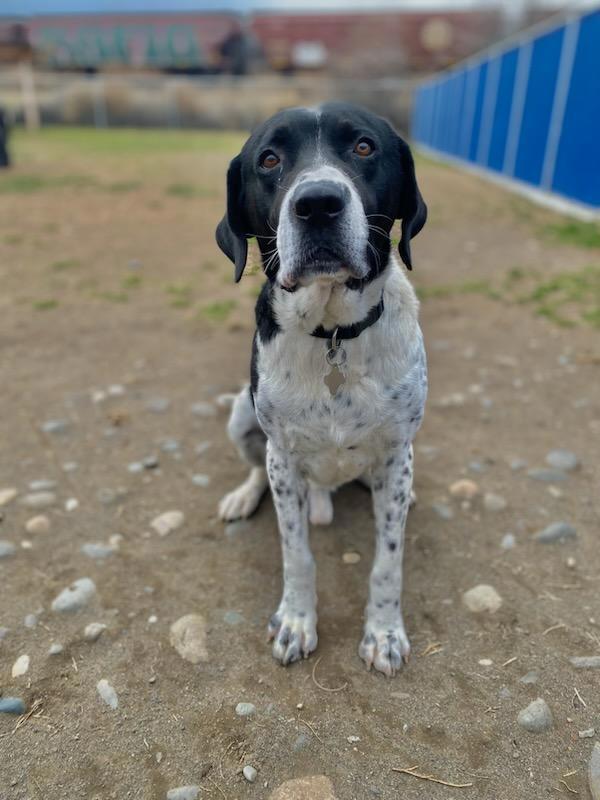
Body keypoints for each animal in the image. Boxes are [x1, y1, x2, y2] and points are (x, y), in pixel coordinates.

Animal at [216, 100, 426, 676]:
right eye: (269, 159)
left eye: (364, 146)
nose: (317, 205)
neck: (332, 330)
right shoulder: (284, 458)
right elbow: (298, 554)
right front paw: (296, 621)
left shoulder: (396, 453)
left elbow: (388, 561)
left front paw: (384, 633)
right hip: (241, 417)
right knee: (256, 468)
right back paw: (243, 496)